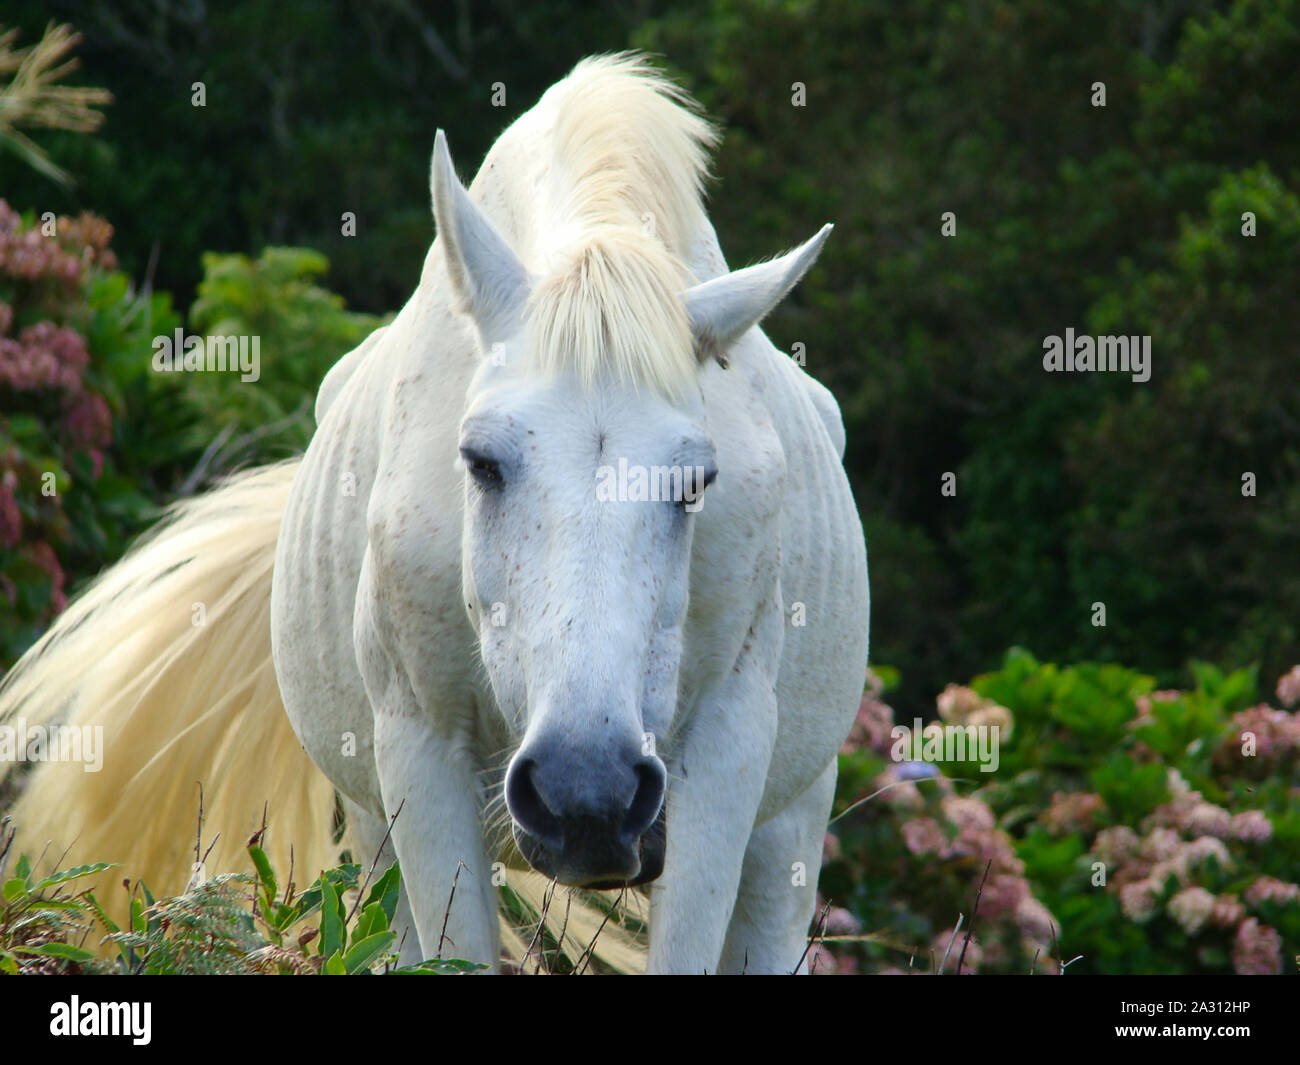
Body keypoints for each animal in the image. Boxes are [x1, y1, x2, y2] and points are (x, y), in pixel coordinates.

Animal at [5, 56, 873, 972]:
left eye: (696, 481)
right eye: (481, 461)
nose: (586, 792)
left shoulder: (725, 757)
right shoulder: (420, 760)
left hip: (786, 827)